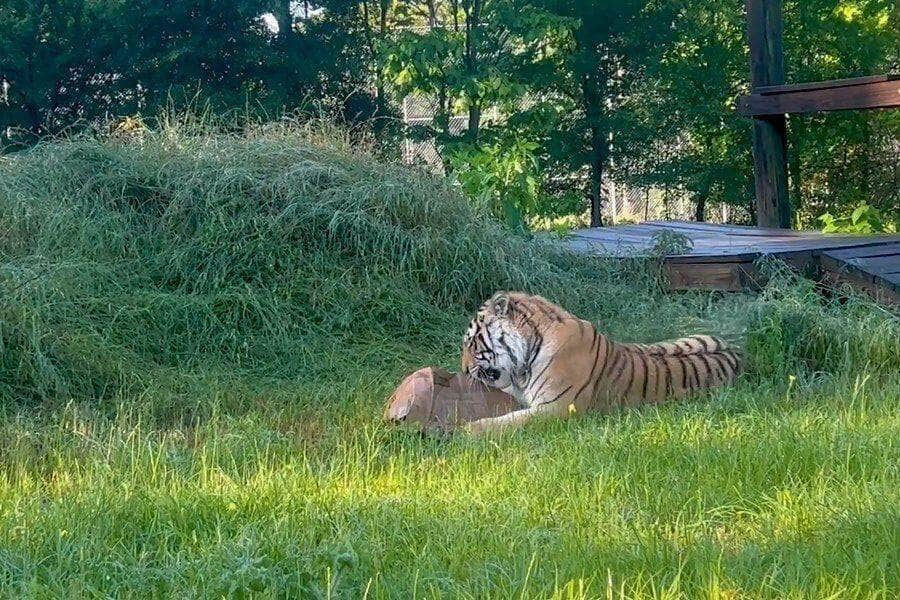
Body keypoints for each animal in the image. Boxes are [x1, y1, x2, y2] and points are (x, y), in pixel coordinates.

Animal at [460, 292, 740, 436]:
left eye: (472, 342)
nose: (462, 369)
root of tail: (737, 350)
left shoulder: (558, 408)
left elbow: (510, 421)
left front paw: (467, 429)